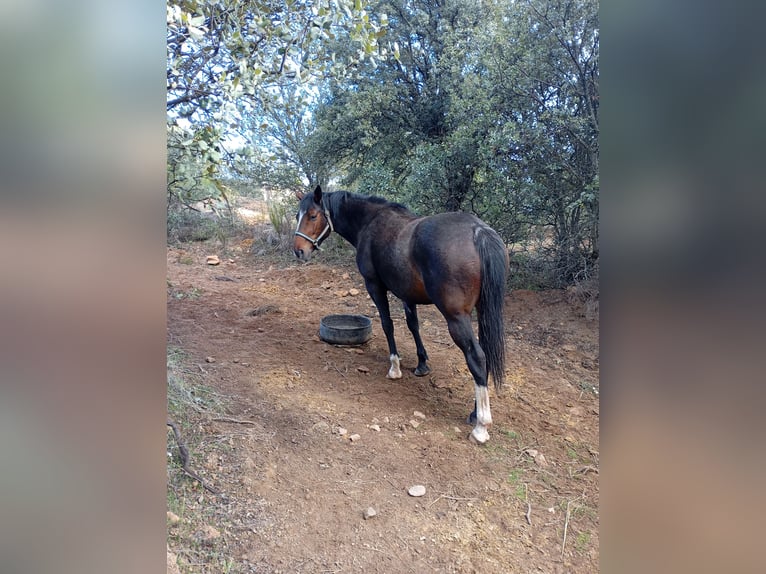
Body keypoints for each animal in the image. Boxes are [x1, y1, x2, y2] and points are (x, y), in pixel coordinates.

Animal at [293, 186, 508, 443]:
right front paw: (422, 364)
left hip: (456, 317)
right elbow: (412, 324)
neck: (370, 222)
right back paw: (474, 413)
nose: (298, 250)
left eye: (313, 216)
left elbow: (388, 325)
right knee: (484, 354)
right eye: (297, 215)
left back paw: (481, 426)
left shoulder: (375, 286)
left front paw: (395, 368)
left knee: (476, 356)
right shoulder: (407, 294)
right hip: (482, 312)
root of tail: (478, 231)